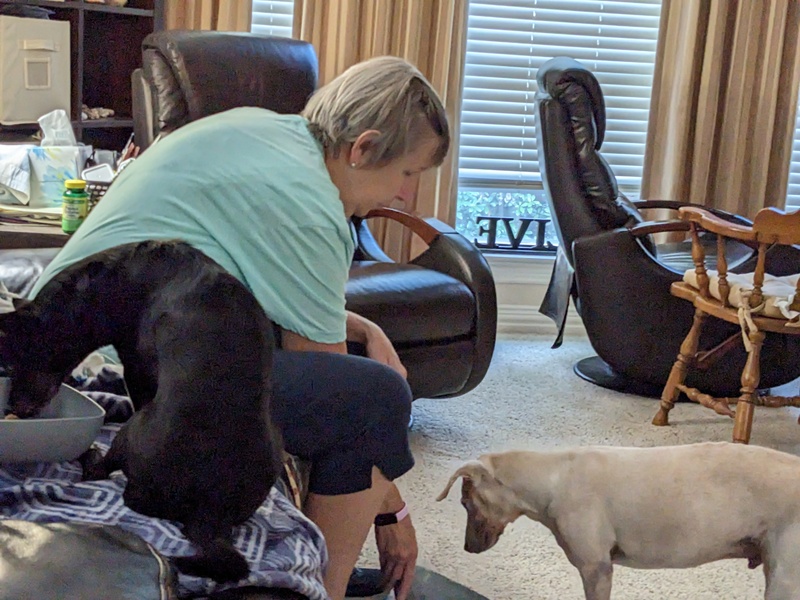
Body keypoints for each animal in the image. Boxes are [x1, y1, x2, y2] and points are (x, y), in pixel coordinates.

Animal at [0, 239, 284, 580]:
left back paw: (91, 455)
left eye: (15, 362)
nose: (14, 407)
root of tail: (211, 511)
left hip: (132, 430)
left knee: (101, 470)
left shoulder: (135, 366)